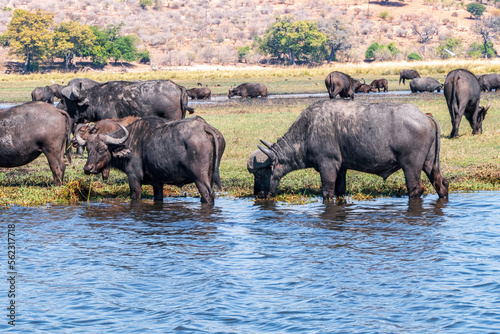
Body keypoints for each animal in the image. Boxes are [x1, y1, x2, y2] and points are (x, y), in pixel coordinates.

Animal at [75, 115, 226, 205]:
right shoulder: (157, 183)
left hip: (200, 178)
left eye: (102, 149)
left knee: (208, 195)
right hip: (210, 176)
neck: (130, 142)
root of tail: (205, 127)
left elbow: (135, 196)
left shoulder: (134, 178)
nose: (88, 169)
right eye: (88, 149)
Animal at [248, 99, 448, 201]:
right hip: (430, 163)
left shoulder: (328, 166)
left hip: (411, 166)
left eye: (259, 174)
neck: (307, 132)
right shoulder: (341, 169)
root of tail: (425, 117)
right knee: (441, 184)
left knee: (415, 189)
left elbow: (327, 192)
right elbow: (340, 191)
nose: (258, 194)